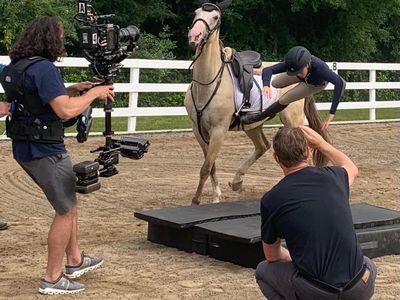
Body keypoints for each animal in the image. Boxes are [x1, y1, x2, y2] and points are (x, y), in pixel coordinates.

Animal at [184, 0, 328, 204]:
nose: (194, 36)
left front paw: (196, 201)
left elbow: (205, 168)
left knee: (303, 150)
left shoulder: (218, 131)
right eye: (196, 13)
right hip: (252, 125)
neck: (208, 82)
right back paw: (237, 181)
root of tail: (301, 73)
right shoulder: (198, 131)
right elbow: (210, 165)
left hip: (292, 120)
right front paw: (216, 196)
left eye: (215, 17)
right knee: (262, 146)